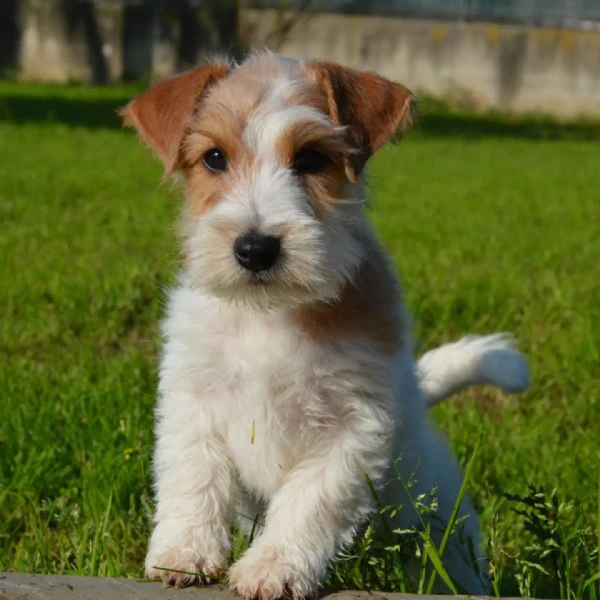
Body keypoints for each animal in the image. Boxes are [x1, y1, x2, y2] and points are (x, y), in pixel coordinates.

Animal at [122, 50, 528, 596]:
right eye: (214, 158)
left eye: (311, 158)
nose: (255, 248)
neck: (270, 315)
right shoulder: (194, 401)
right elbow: (193, 479)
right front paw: (184, 554)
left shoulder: (351, 428)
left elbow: (308, 506)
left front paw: (271, 568)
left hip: (441, 529)